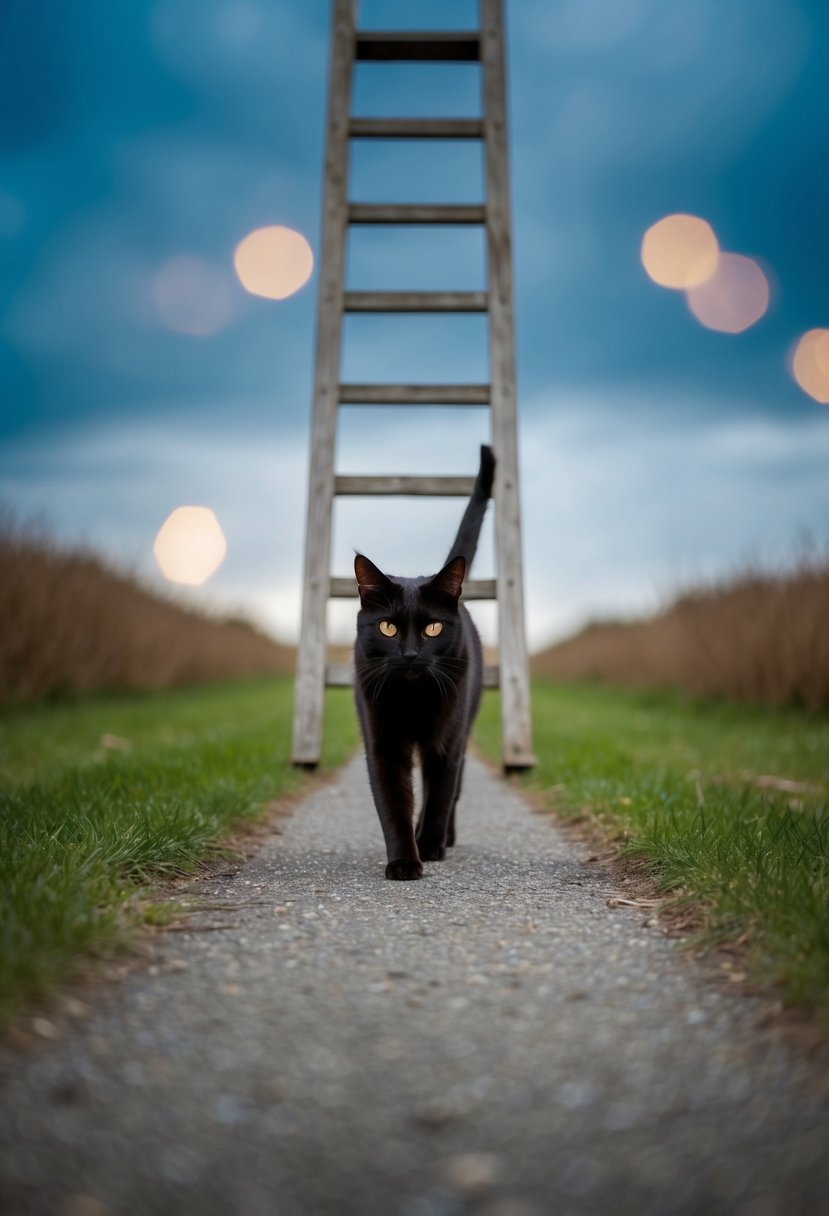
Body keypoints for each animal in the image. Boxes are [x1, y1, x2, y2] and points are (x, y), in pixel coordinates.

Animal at [352, 447, 493, 885]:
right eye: (388, 626)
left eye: (432, 628)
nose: (411, 653)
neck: (412, 698)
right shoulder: (383, 744)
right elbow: (392, 802)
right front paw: (403, 861)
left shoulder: (447, 740)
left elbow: (441, 793)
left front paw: (429, 846)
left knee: (452, 790)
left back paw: (443, 838)